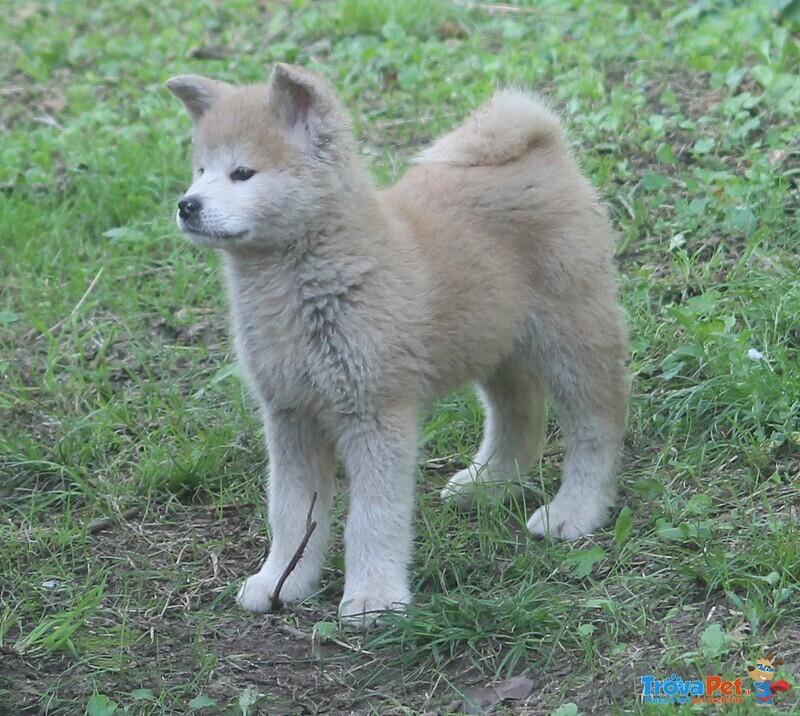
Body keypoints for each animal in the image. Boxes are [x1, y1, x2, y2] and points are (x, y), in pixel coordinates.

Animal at [169, 63, 628, 620]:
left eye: (242, 173)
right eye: (200, 170)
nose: (187, 205)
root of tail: (542, 143)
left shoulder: (376, 414)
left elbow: (373, 517)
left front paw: (373, 598)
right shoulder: (290, 415)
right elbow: (290, 511)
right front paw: (282, 579)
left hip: (571, 338)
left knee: (597, 423)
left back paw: (576, 509)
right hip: (493, 342)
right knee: (520, 414)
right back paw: (490, 483)